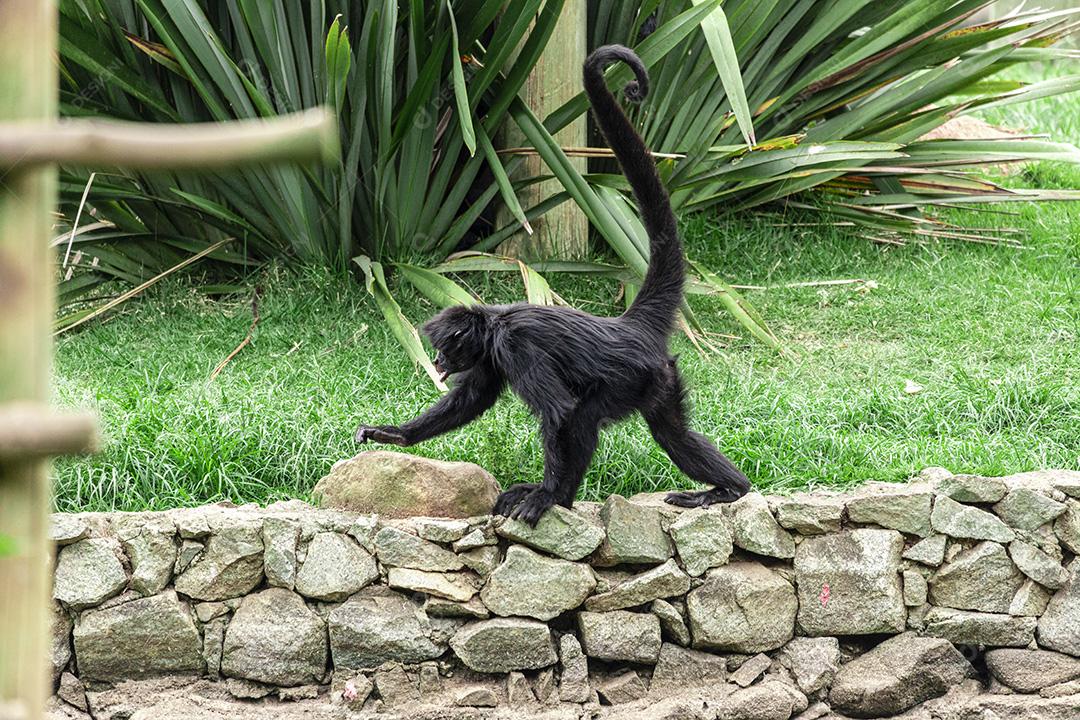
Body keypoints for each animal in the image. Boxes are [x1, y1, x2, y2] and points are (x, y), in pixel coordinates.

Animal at [356, 47, 751, 526]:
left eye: (445, 349)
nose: (437, 361)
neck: (494, 322)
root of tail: (628, 325)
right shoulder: (492, 355)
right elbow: (472, 399)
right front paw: (395, 434)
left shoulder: (515, 347)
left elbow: (560, 412)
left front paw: (545, 494)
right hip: (661, 380)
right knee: (671, 430)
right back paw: (732, 487)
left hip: (632, 378)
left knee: (583, 417)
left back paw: (558, 496)